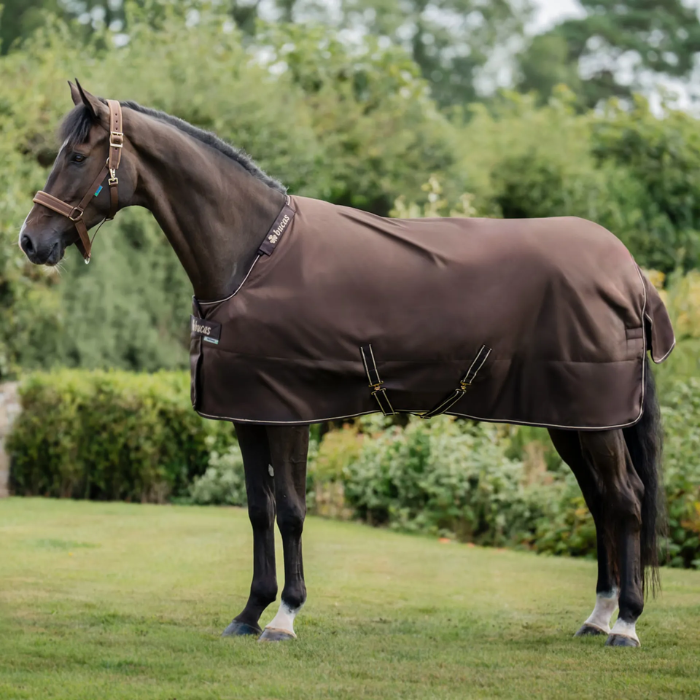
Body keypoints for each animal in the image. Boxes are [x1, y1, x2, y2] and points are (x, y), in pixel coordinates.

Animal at [19, 81, 673, 647]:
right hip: (573, 421)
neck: (252, 256)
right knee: (600, 503)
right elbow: (257, 511)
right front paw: (249, 612)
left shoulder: (289, 414)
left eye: (77, 156)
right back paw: (597, 616)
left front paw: (284, 616)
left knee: (625, 499)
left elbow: (291, 511)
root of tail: (631, 273)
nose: (30, 241)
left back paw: (625, 625)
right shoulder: (246, 415)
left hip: (596, 422)